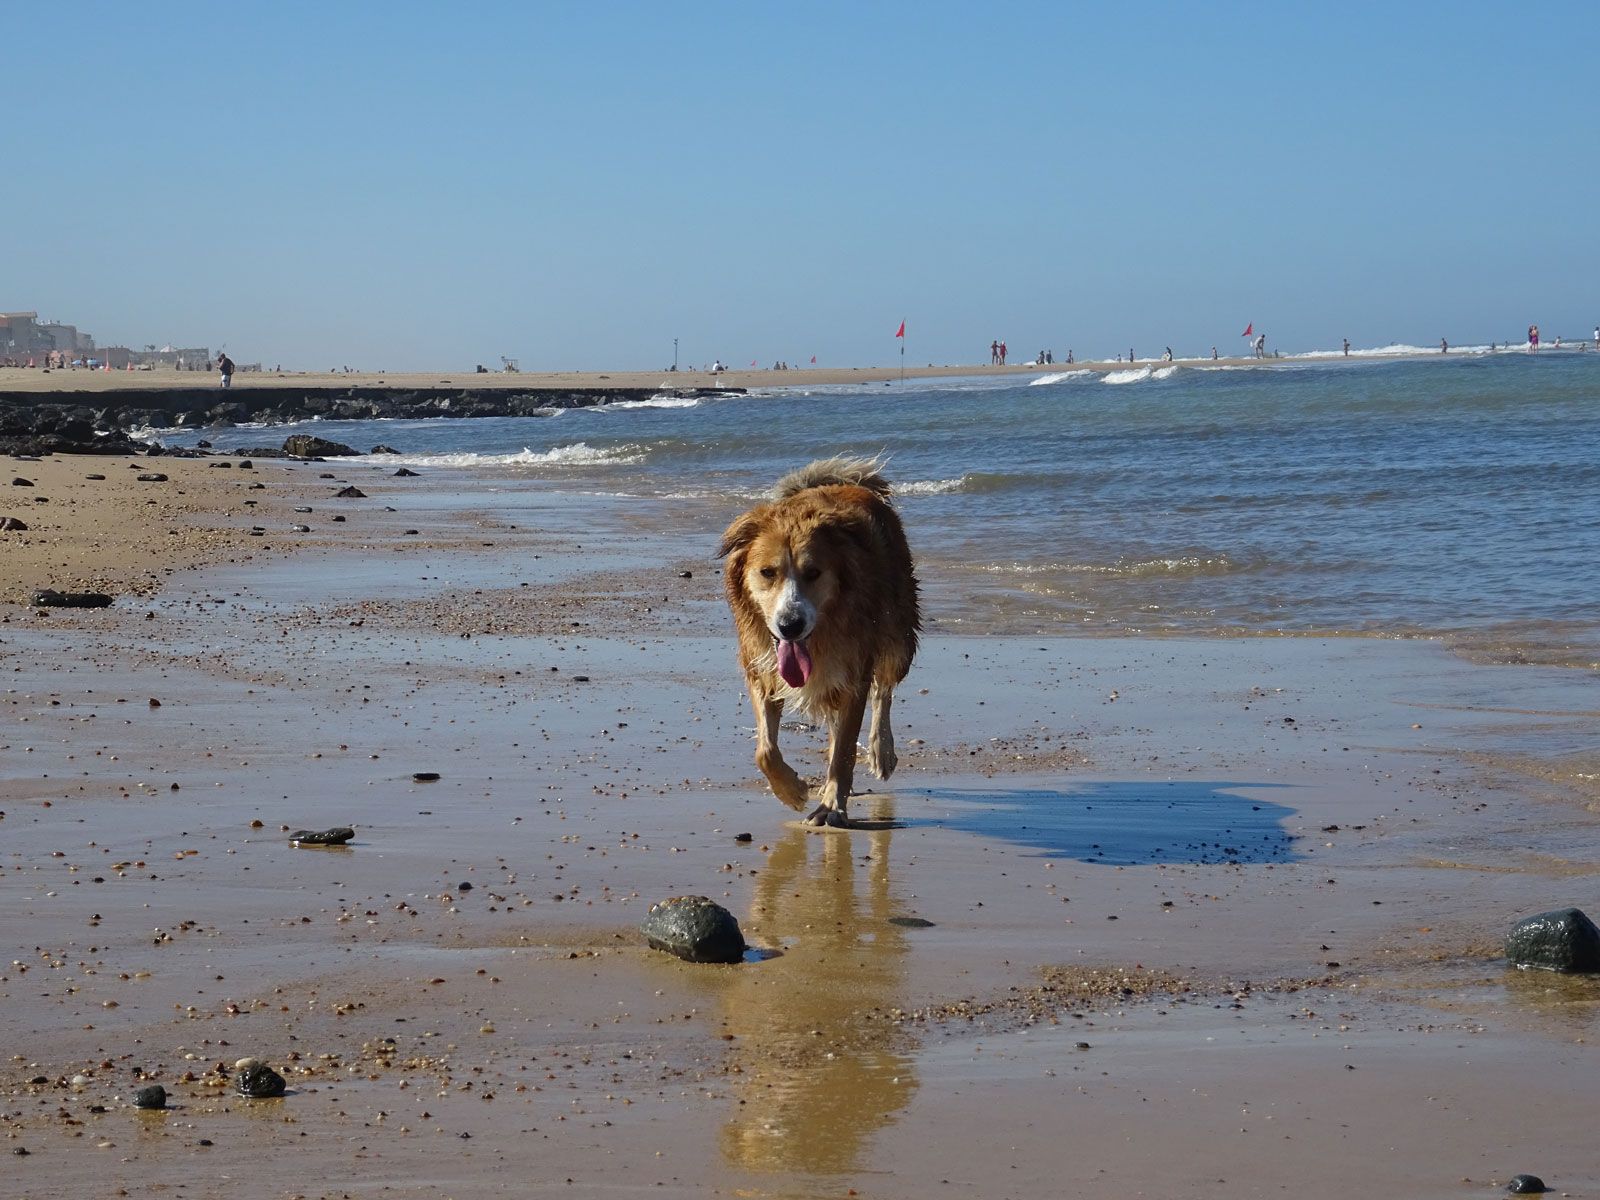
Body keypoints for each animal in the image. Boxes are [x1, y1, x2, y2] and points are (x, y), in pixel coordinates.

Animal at [716, 457, 921, 825]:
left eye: (814, 573)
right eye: (767, 572)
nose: (790, 625)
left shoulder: (853, 671)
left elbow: (845, 749)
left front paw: (831, 806)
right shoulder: (762, 664)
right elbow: (764, 750)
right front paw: (793, 791)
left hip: (897, 628)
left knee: (884, 690)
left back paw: (880, 752)